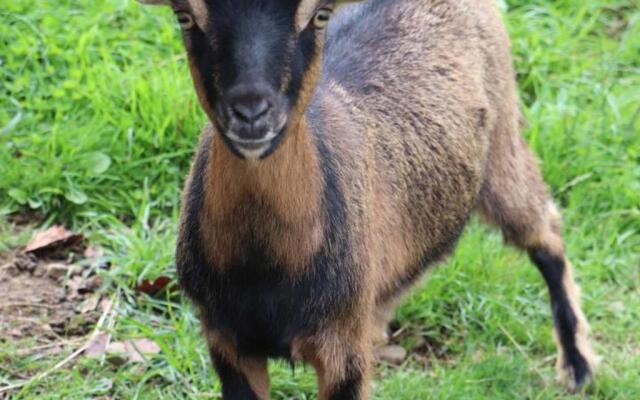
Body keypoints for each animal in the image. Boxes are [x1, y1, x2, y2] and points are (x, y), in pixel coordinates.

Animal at [138, 0, 596, 396]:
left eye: (319, 15)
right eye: (185, 16)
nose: (251, 110)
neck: (263, 267)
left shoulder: (343, 349)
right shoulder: (227, 342)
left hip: (502, 141)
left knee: (546, 230)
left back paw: (578, 365)